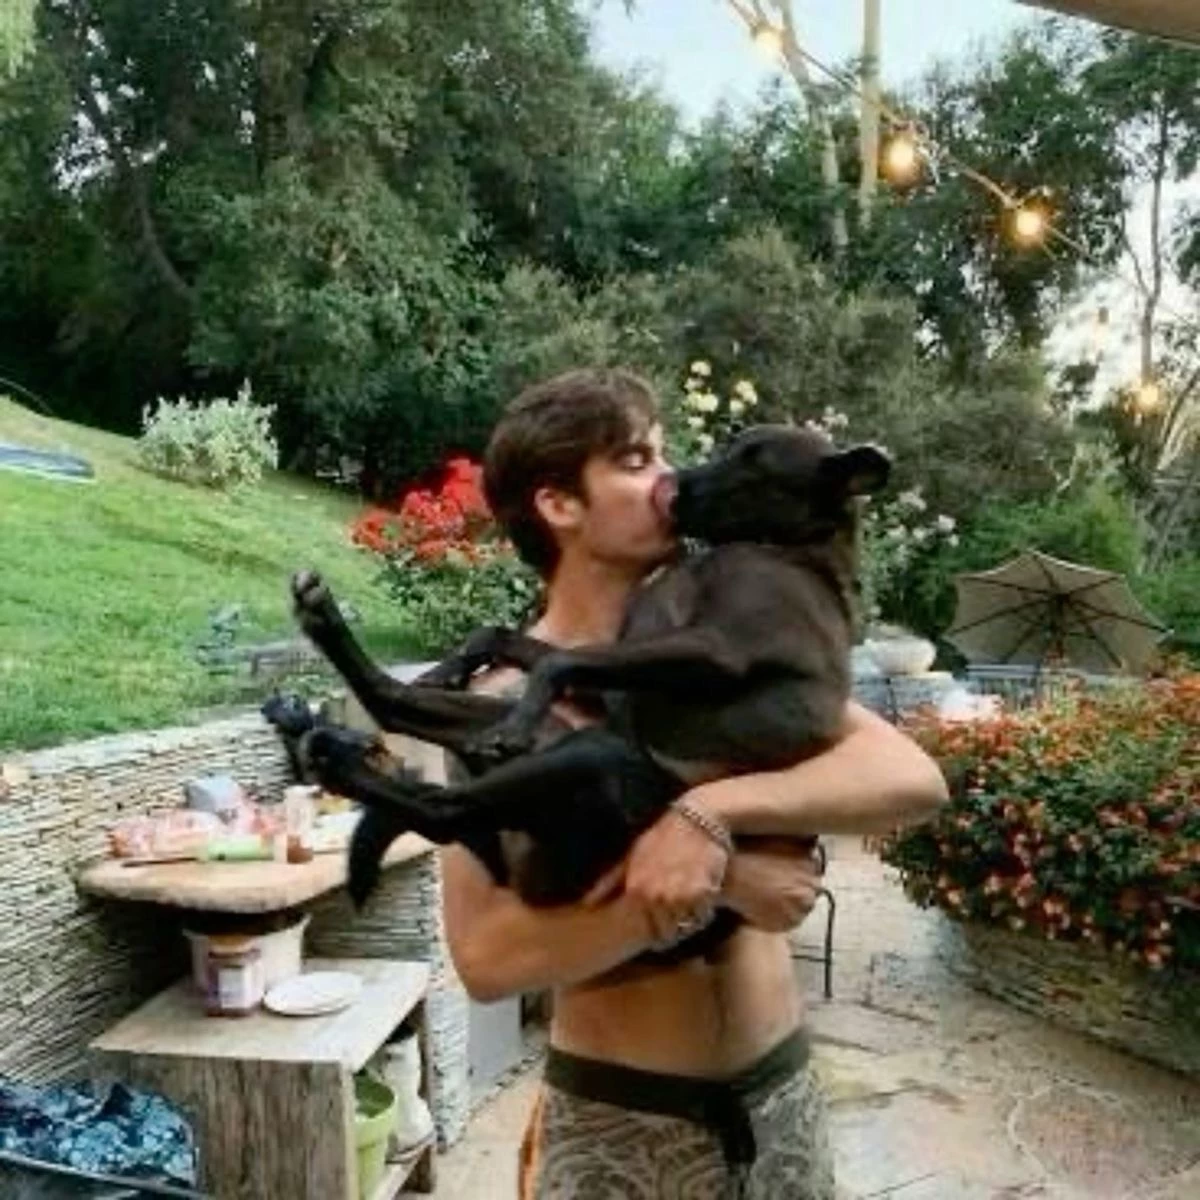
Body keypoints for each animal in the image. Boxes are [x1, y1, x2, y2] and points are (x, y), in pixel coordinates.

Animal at [266, 424, 889, 957]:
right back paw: (329, 648)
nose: (670, 488)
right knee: (394, 707)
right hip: (536, 735)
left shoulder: (717, 649)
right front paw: (452, 664)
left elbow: (562, 659)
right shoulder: (617, 670)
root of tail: (515, 865)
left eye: (755, 465)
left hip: (593, 759)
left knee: (443, 810)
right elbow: (512, 639)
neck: (780, 546)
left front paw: (511, 701)